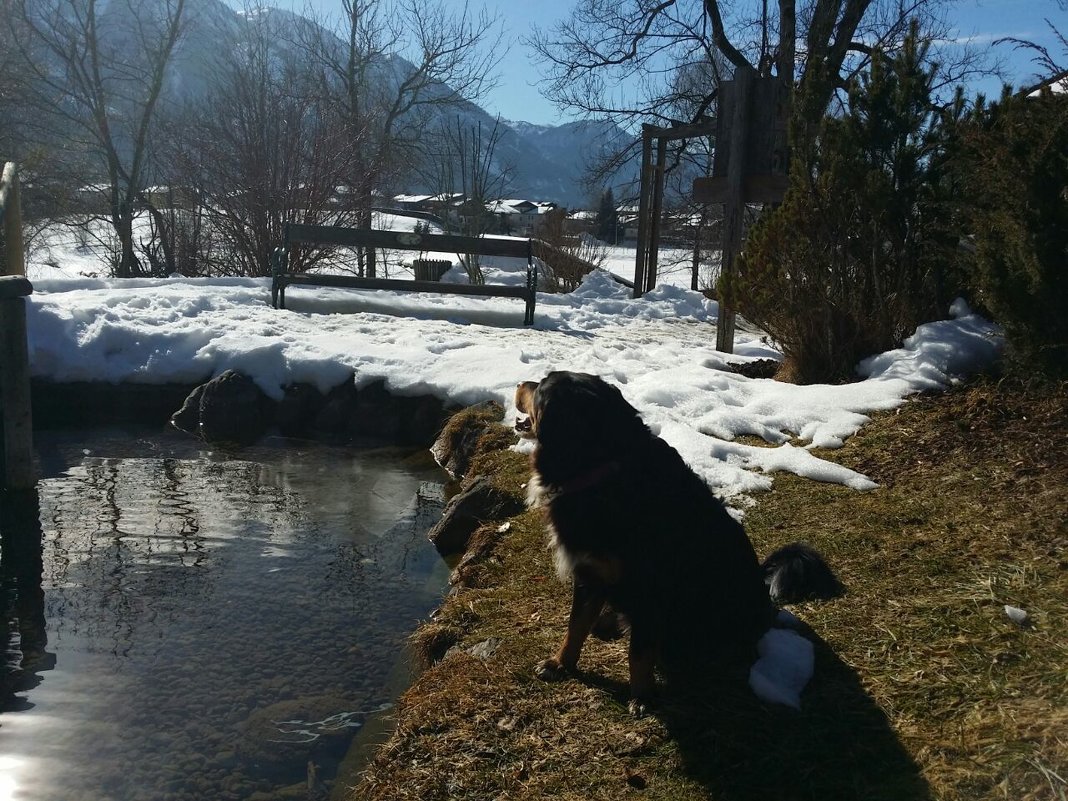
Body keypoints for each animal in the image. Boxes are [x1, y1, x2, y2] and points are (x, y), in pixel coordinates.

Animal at [516, 369, 841, 713]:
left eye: (541, 385)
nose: (520, 382)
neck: (604, 470)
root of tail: (765, 597)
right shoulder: (589, 572)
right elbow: (576, 625)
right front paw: (560, 664)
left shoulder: (650, 586)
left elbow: (639, 650)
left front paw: (642, 695)